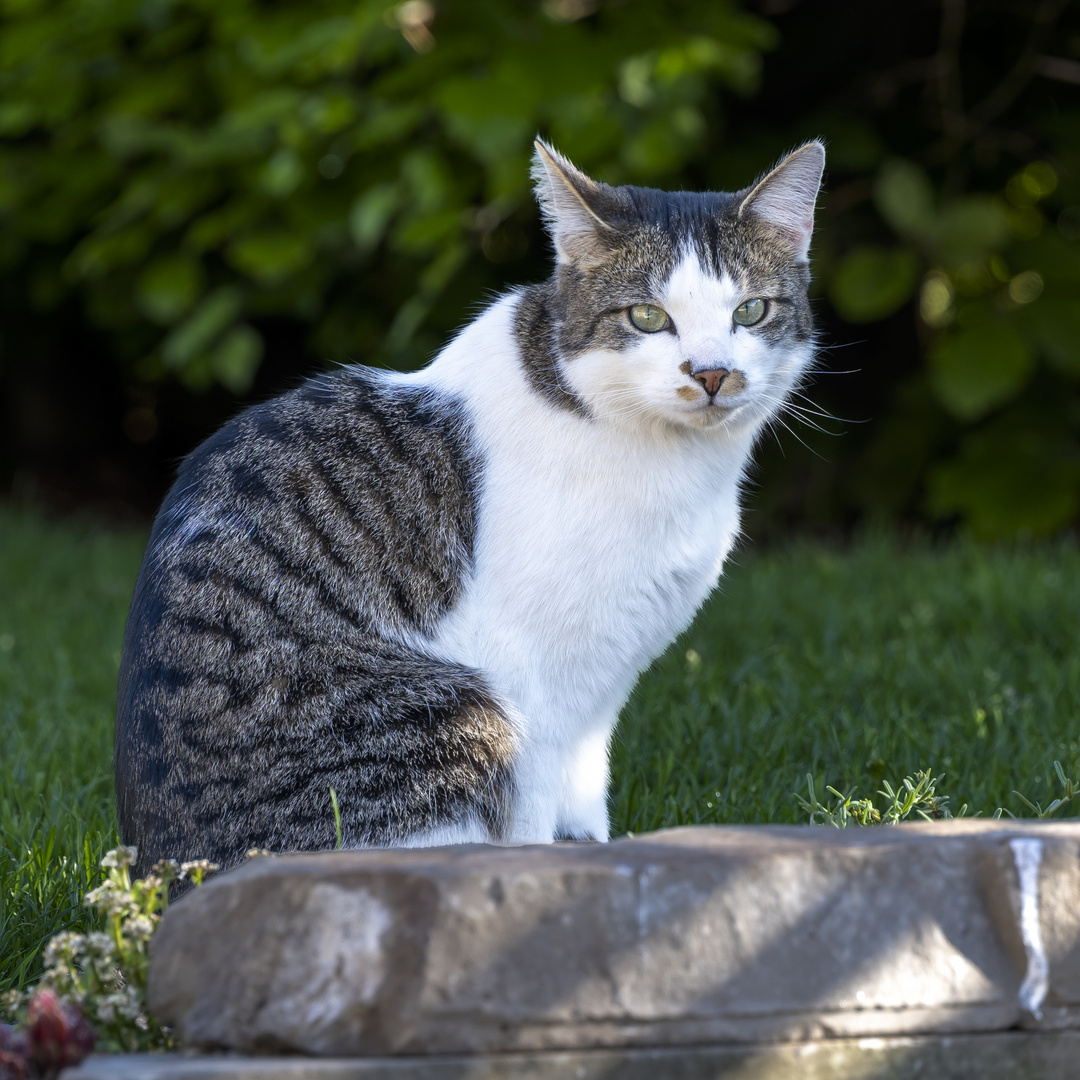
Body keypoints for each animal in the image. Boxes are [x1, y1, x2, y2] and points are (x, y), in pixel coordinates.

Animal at [113, 137, 820, 876]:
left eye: (750, 312)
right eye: (649, 317)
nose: (712, 373)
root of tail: (158, 874)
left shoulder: (599, 699)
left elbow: (586, 803)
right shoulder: (530, 678)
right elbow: (534, 822)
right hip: (460, 711)